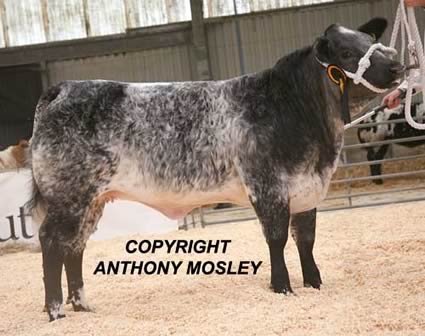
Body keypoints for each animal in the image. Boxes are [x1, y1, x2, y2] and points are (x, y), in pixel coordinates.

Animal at [29, 17, 400, 320]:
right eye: (347, 52)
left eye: (369, 40)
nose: (397, 65)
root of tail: (65, 88)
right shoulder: (268, 187)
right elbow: (277, 239)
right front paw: (282, 287)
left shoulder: (306, 191)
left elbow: (305, 240)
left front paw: (314, 283)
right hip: (68, 196)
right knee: (51, 242)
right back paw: (55, 310)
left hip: (92, 201)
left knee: (75, 246)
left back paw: (82, 305)